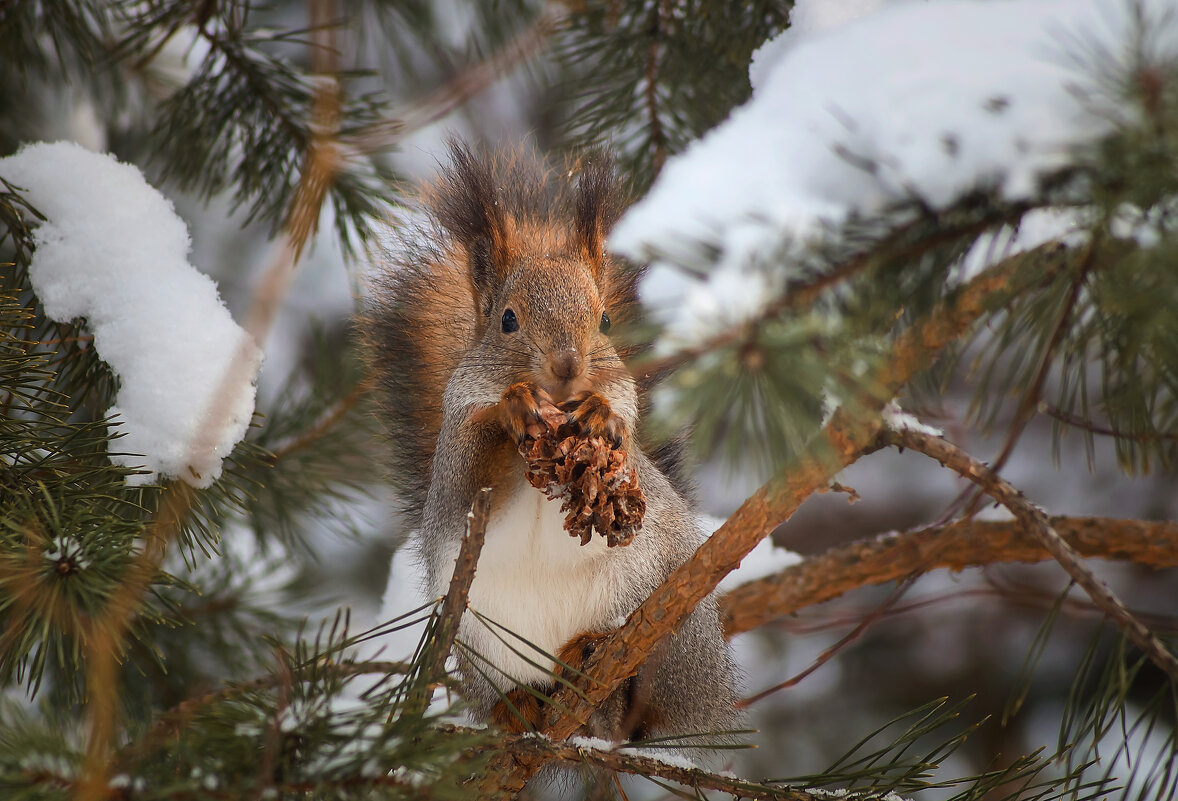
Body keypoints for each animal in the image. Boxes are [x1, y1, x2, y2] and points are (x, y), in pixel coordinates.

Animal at [362, 138, 739, 744]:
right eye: (507, 320)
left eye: (605, 320)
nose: (567, 366)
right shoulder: (456, 451)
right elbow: (474, 470)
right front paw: (511, 406)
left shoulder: (627, 434)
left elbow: (621, 430)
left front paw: (597, 410)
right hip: (478, 644)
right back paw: (517, 708)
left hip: (673, 625)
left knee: (643, 709)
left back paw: (596, 658)